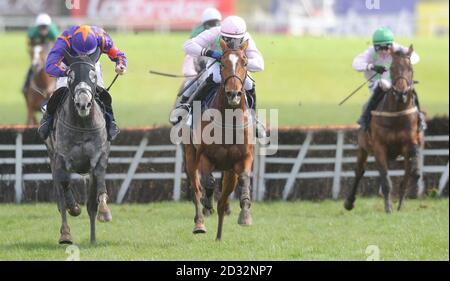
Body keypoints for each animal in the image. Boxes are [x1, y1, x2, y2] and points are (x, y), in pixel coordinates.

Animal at [43, 47, 112, 243]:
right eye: (70, 75)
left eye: (93, 75)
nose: (83, 103)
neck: (82, 124)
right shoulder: (60, 160)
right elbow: (64, 189)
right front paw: (72, 211)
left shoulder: (99, 156)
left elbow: (98, 187)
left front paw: (104, 212)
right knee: (60, 196)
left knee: (90, 205)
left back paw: (93, 239)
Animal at [183, 38, 253, 240]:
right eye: (222, 63)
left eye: (245, 62)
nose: (233, 94)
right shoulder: (205, 156)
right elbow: (208, 183)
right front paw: (207, 205)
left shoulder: (244, 157)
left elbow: (244, 179)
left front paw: (245, 215)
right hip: (190, 155)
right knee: (196, 188)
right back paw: (200, 222)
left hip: (229, 171)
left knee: (223, 199)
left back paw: (219, 236)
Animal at [344, 45, 426, 212]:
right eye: (392, 68)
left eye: (410, 68)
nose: (401, 93)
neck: (397, 114)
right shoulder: (379, 147)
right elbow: (386, 180)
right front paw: (388, 209)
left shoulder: (409, 145)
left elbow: (410, 173)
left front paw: (400, 204)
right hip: (363, 147)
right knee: (359, 171)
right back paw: (349, 202)